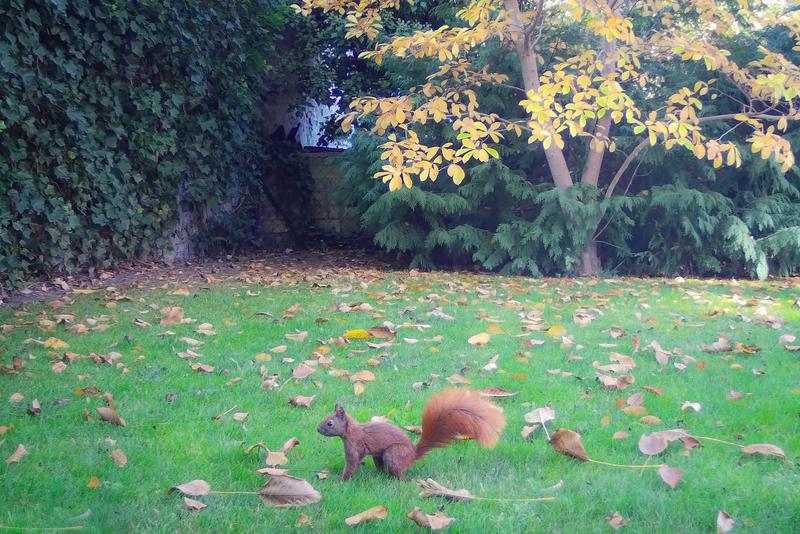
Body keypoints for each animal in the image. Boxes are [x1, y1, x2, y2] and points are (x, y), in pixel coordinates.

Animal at [316, 390, 504, 482]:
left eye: (330, 423)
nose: (318, 429)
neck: (351, 431)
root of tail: (413, 454)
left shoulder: (354, 447)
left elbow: (351, 464)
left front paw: (341, 481)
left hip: (393, 454)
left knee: (399, 474)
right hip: (380, 455)